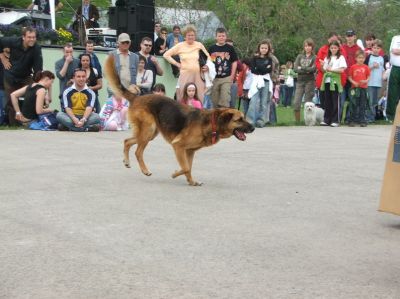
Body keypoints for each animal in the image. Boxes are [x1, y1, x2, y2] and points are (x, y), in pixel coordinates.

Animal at [104, 54, 255, 185]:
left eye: (243, 118)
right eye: (239, 119)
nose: (253, 128)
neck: (211, 122)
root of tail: (137, 97)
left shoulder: (189, 151)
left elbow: (189, 167)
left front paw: (191, 182)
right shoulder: (178, 146)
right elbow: (186, 167)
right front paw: (175, 174)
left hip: (149, 134)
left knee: (127, 141)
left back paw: (127, 161)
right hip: (148, 131)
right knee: (138, 152)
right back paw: (145, 170)